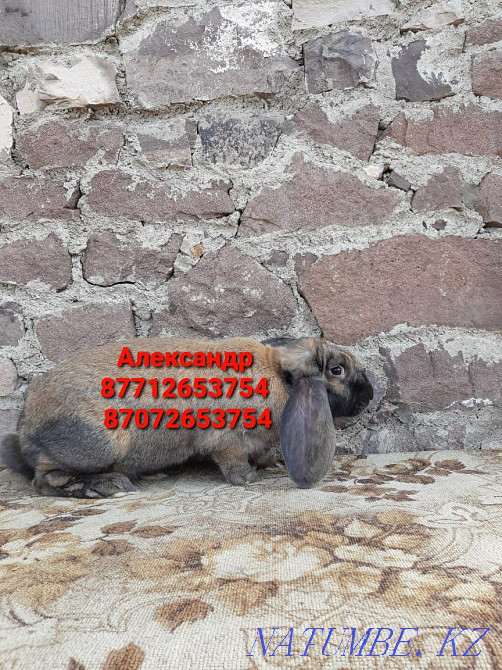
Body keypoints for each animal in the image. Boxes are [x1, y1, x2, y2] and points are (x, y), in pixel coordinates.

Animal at [1, 336, 373, 498]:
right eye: (337, 371)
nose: (370, 395)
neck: (278, 378)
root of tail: (26, 424)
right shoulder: (227, 441)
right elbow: (233, 463)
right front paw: (251, 479)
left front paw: (270, 465)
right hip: (99, 444)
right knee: (44, 479)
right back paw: (106, 486)